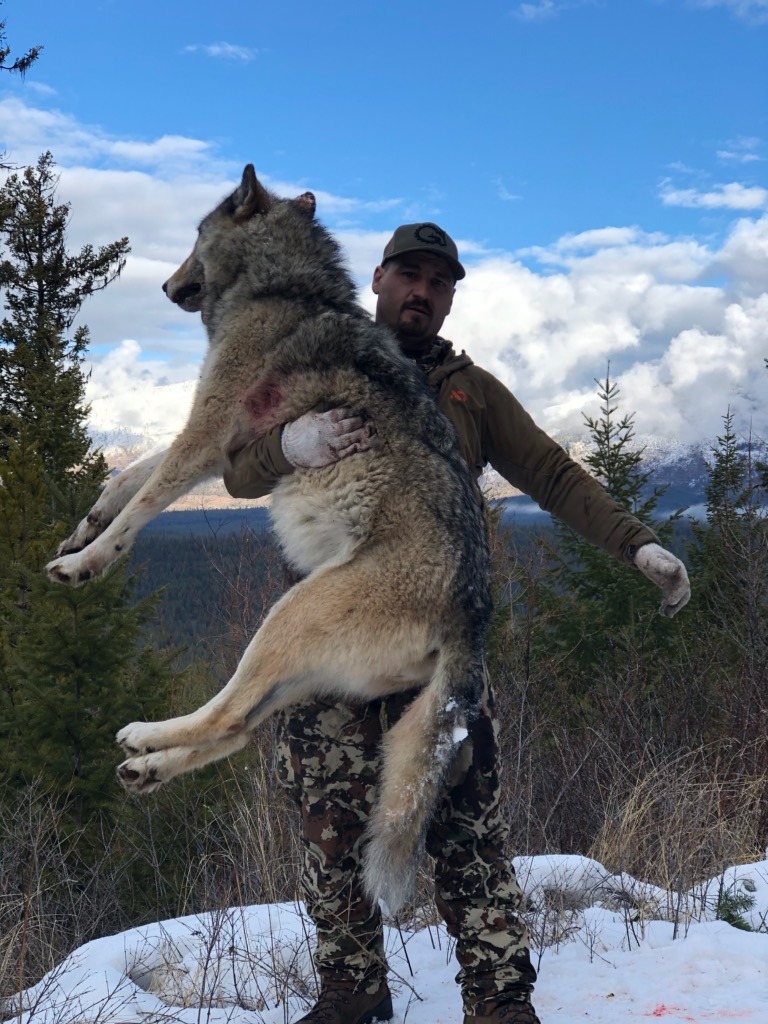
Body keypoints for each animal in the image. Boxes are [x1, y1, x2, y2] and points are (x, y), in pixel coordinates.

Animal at [46, 165, 491, 913]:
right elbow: (129, 476)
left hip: (286, 620)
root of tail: (469, 622)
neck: (282, 287)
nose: (163, 288)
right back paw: (147, 768)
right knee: (240, 724)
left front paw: (87, 562)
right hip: (300, 665)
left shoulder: (211, 429)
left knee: (227, 714)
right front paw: (85, 524)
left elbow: (147, 497)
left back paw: (143, 739)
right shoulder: (220, 442)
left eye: (196, 236)